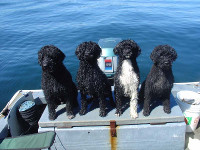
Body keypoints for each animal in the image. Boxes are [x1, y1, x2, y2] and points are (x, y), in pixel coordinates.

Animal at [38, 41, 177, 119]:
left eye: (131, 47)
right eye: (123, 47)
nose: (127, 51)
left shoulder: (132, 87)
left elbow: (131, 103)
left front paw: (133, 113)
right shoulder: (113, 87)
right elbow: (85, 101)